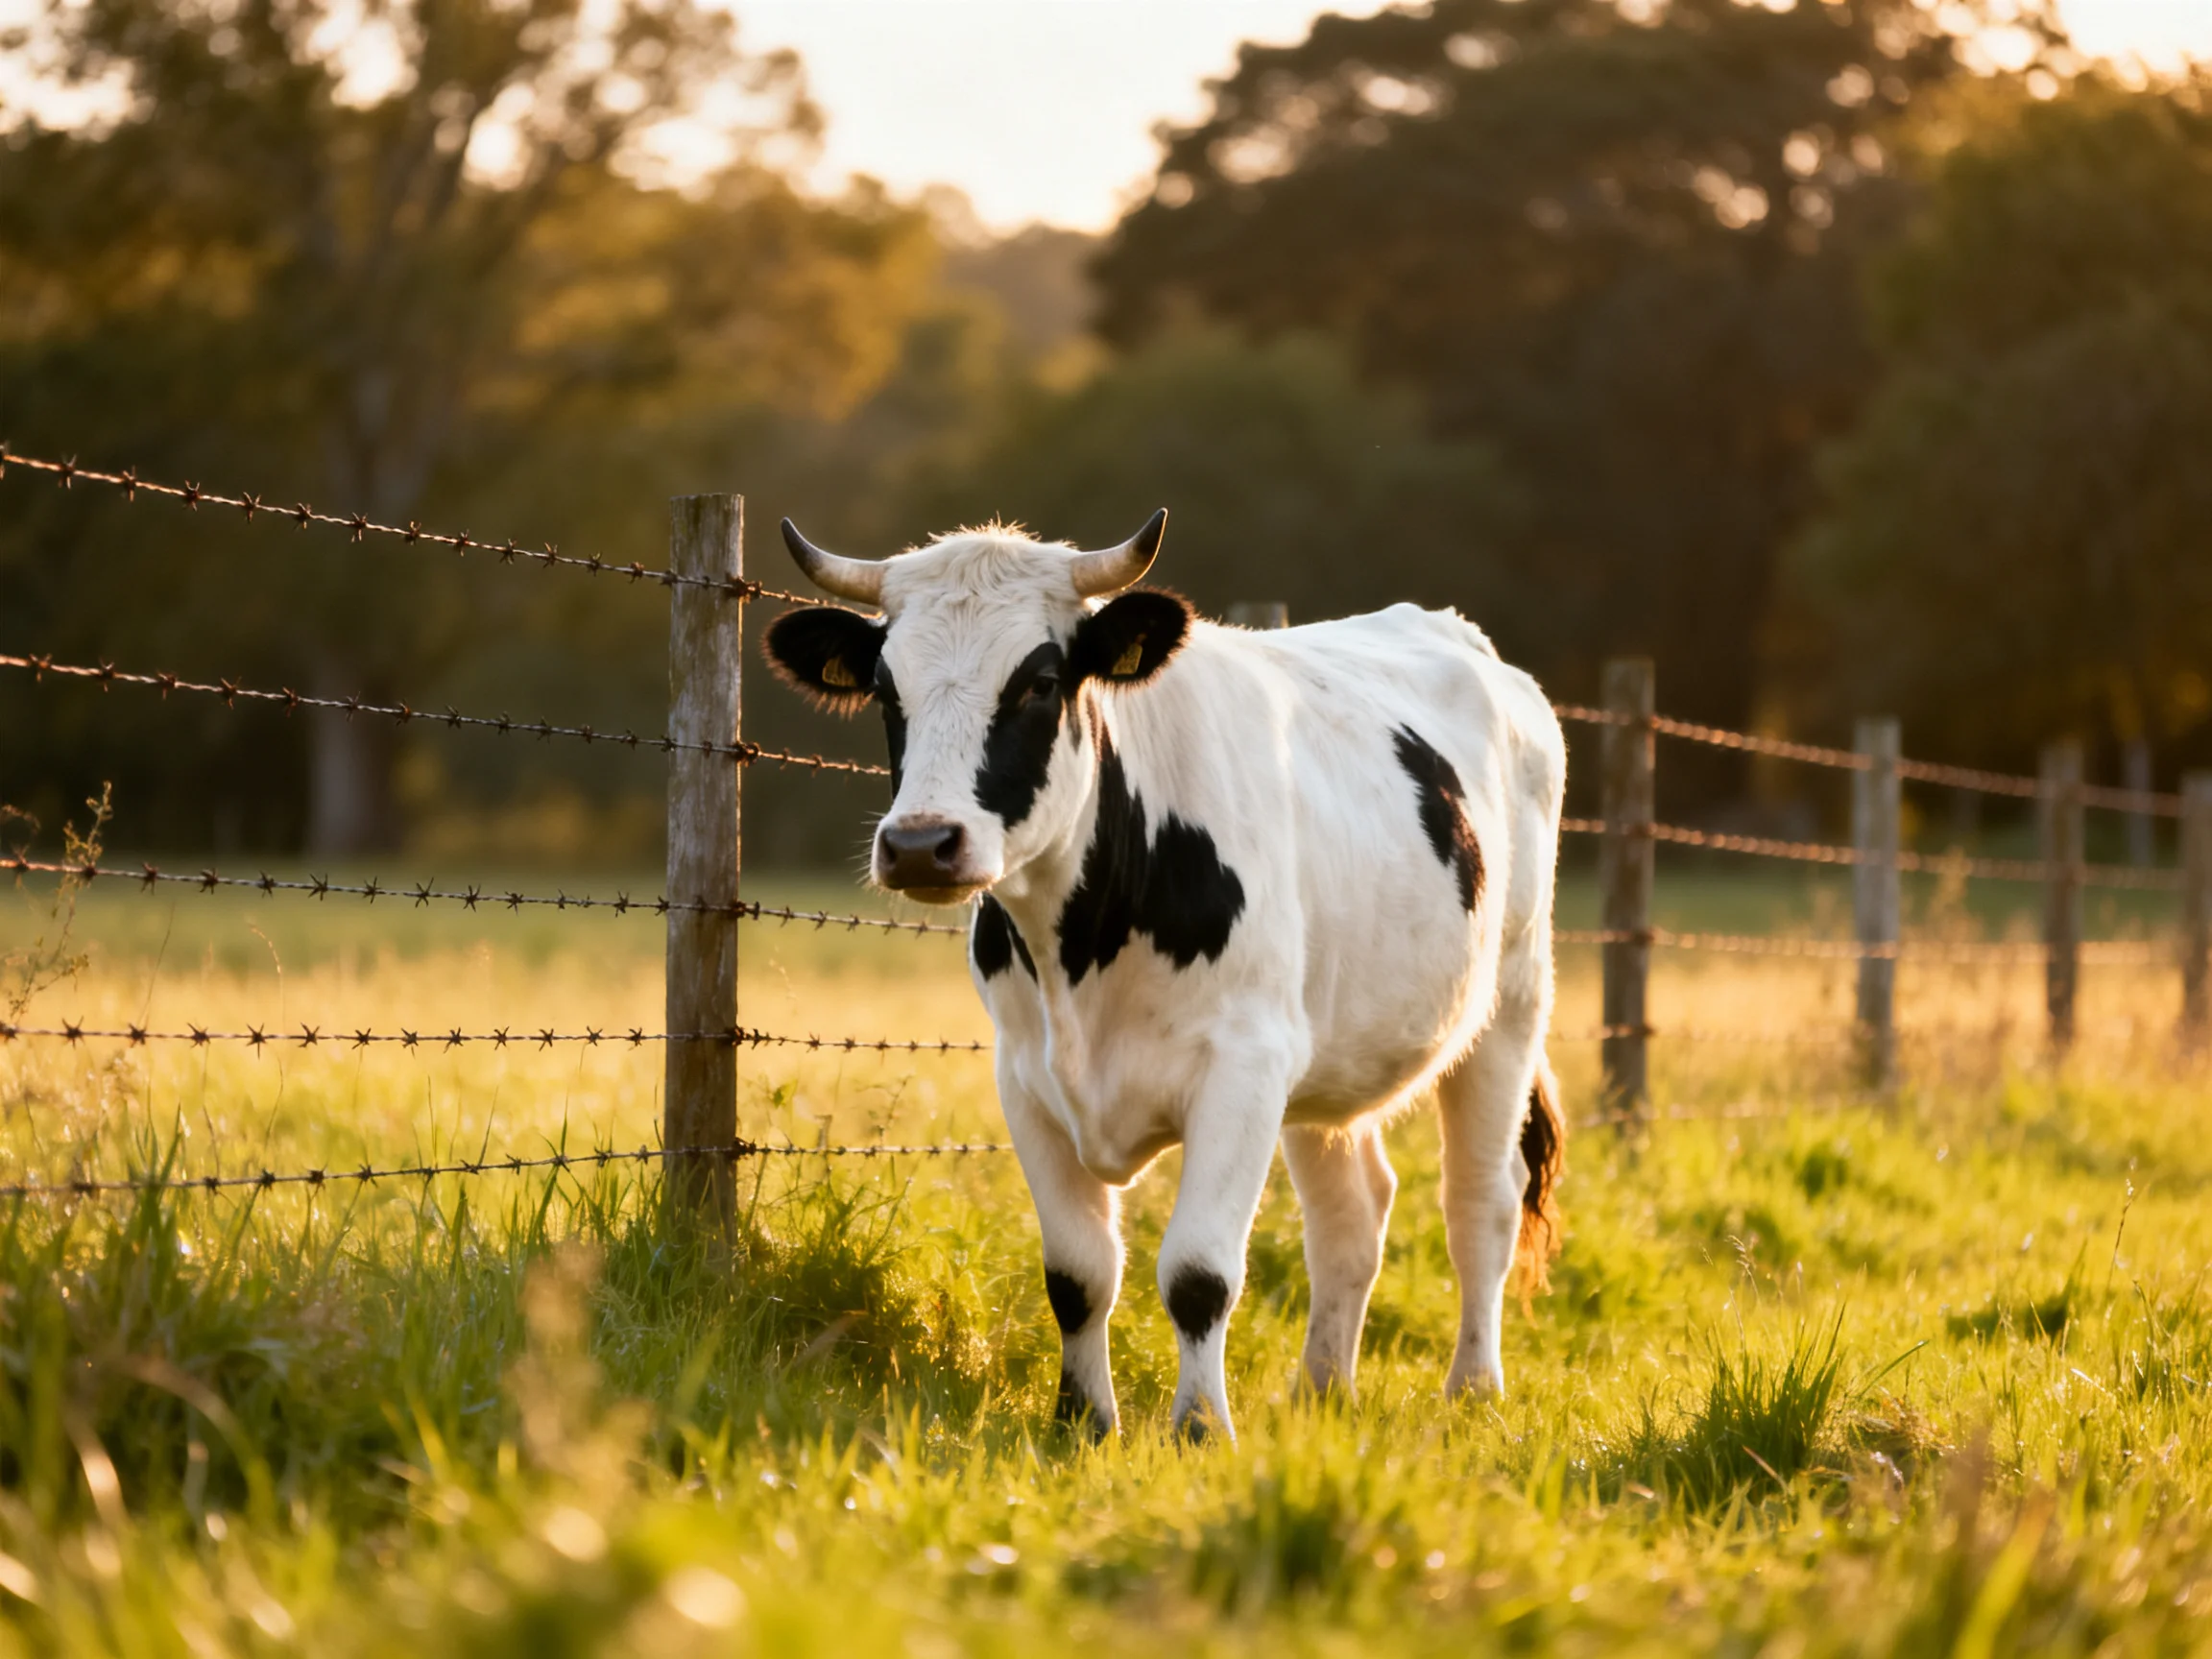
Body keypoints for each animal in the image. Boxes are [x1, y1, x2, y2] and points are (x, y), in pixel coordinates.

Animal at [761, 511, 1566, 1442]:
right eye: (887, 689)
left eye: (1040, 682)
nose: (922, 843)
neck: (1082, 950)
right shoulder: (1025, 1079)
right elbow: (1077, 1274)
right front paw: (1081, 1423)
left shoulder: (1242, 1069)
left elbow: (1199, 1272)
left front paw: (1200, 1429)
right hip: (1328, 1055)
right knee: (1351, 1216)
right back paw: (1322, 1391)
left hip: (1510, 1004)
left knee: (1481, 1204)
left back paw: (1473, 1391)